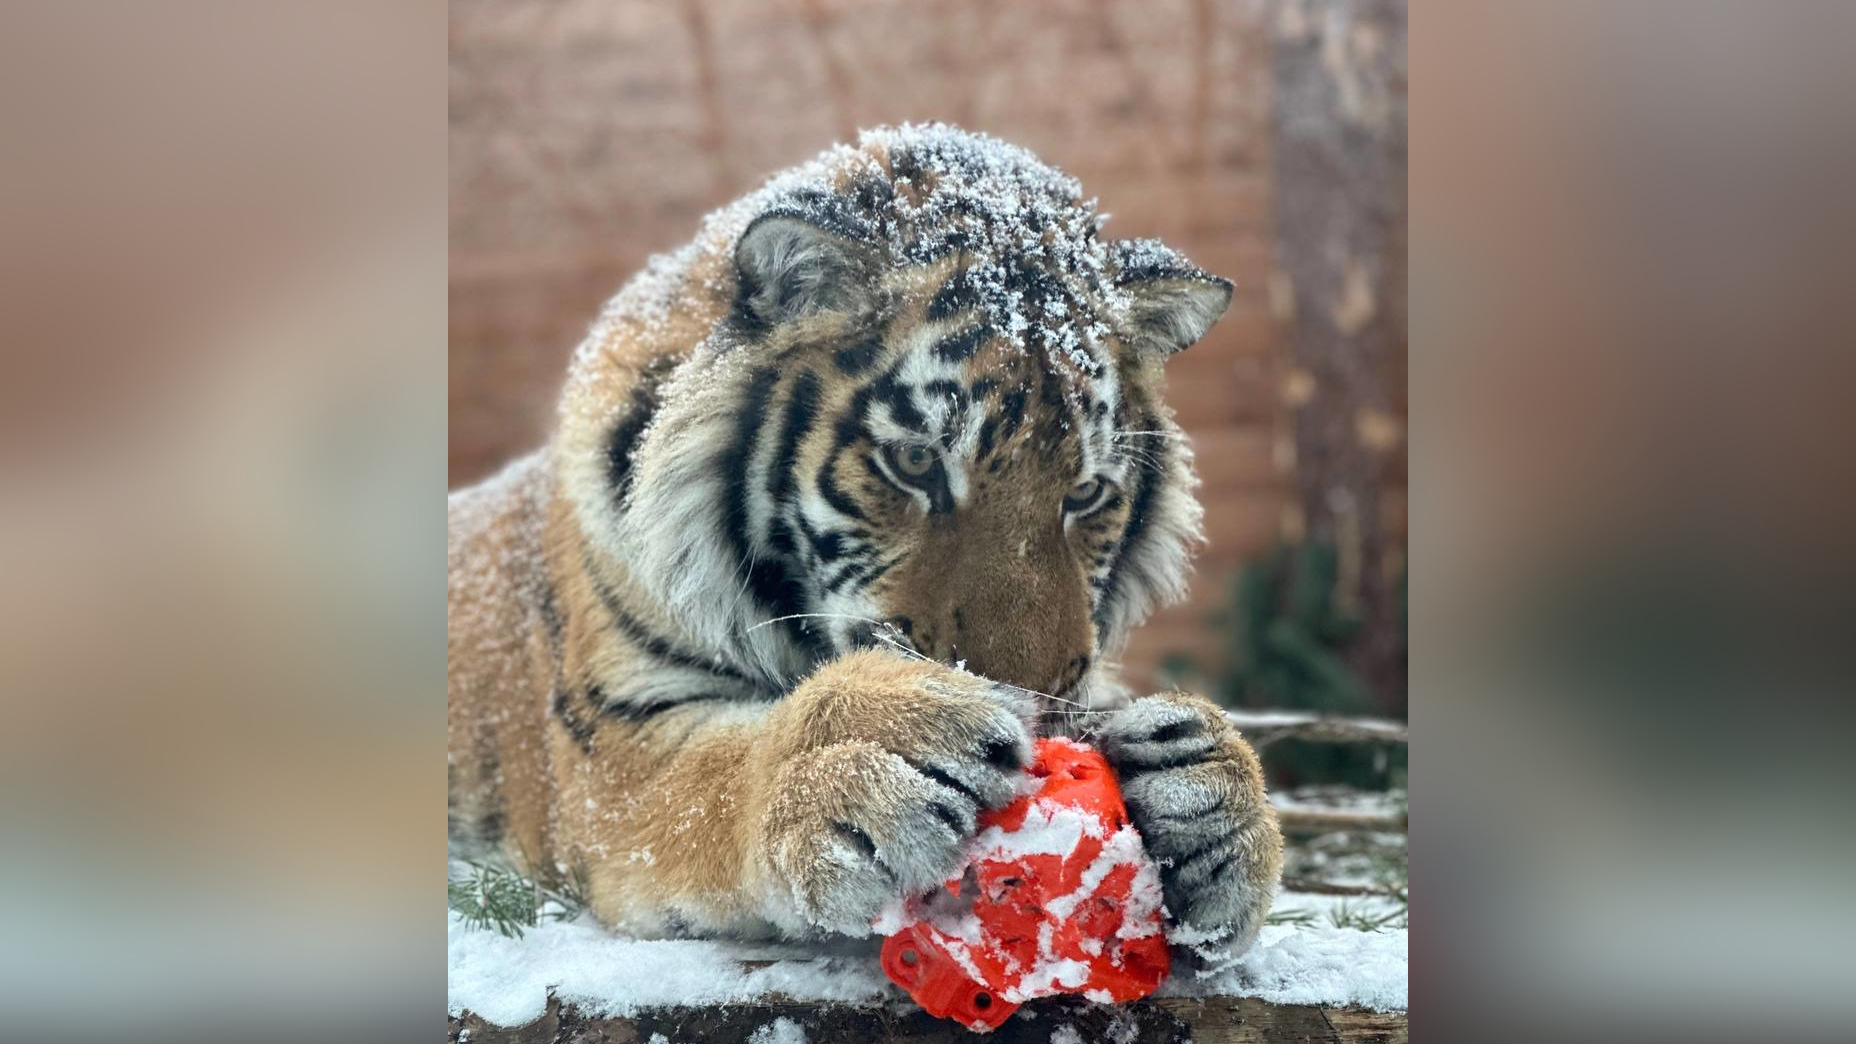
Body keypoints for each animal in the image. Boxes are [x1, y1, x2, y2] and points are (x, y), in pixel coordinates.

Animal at [456, 123, 1284, 958]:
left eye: (1084, 494)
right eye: (916, 462)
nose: (1030, 707)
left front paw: (1211, 800)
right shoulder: (609, 748)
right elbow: (711, 779)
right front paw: (863, 750)